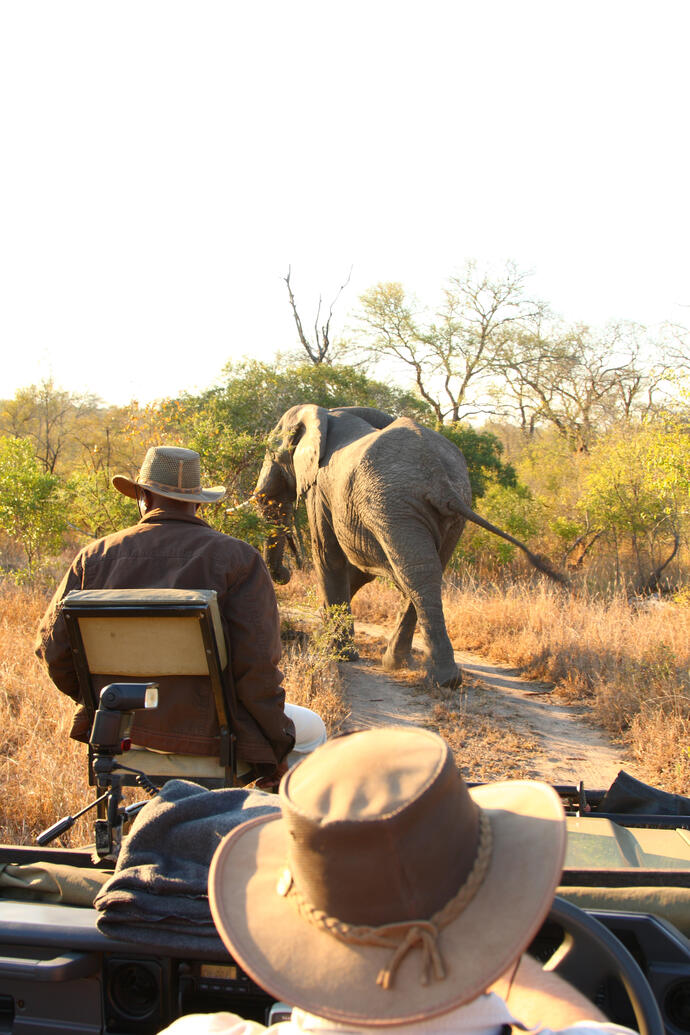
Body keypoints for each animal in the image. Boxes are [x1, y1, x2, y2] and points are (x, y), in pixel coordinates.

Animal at [253, 403, 562, 687]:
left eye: (271, 453)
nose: (285, 574)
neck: (326, 414)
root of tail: (439, 479)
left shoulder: (319, 490)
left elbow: (329, 558)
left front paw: (338, 655)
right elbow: (359, 569)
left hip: (393, 505)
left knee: (414, 574)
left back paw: (438, 678)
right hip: (443, 510)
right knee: (425, 571)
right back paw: (404, 664)